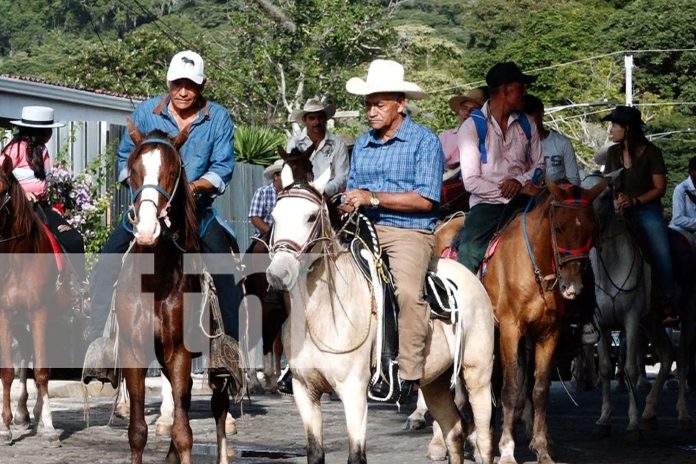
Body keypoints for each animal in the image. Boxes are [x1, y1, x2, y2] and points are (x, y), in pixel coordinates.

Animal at [117, 130, 239, 464]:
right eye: (133, 170)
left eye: (172, 172)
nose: (147, 230)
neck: (155, 281)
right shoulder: (134, 351)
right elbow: (137, 431)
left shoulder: (180, 352)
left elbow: (184, 433)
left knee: (218, 405)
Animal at [266, 169, 494, 464]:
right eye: (274, 215)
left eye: (310, 216)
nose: (278, 274)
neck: (321, 316)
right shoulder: (304, 391)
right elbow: (315, 454)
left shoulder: (353, 391)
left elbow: (356, 455)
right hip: (435, 382)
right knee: (454, 431)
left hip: (478, 374)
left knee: (484, 439)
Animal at [482, 180, 608, 464]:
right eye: (558, 227)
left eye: (592, 229)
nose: (572, 287)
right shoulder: (510, 329)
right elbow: (510, 388)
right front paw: (507, 450)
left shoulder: (548, 334)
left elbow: (539, 390)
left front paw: (541, 448)